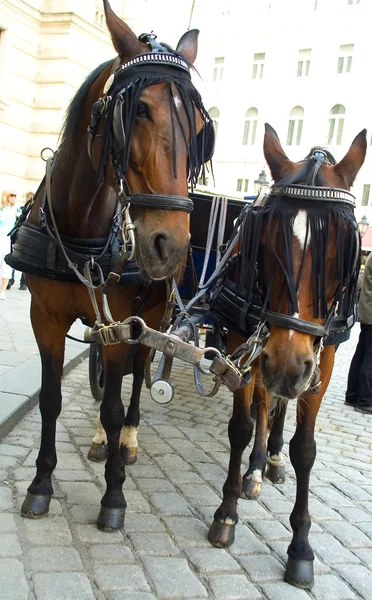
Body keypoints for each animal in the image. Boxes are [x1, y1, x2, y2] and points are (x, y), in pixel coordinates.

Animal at [10, 1, 212, 536]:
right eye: (137, 110)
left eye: (200, 130)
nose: (170, 246)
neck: (82, 225)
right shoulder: (46, 318)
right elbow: (52, 399)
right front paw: (41, 484)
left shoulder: (129, 324)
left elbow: (118, 404)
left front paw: (114, 496)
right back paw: (103, 439)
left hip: (155, 319)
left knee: (137, 382)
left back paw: (127, 442)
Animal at [209, 124, 366, 588]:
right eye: (267, 241)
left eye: (343, 249)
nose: (287, 366)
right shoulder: (240, 348)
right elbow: (242, 427)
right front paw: (227, 512)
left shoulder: (322, 364)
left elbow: (305, 449)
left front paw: (300, 546)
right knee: (266, 403)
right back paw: (257, 466)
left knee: (279, 409)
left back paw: (273, 459)